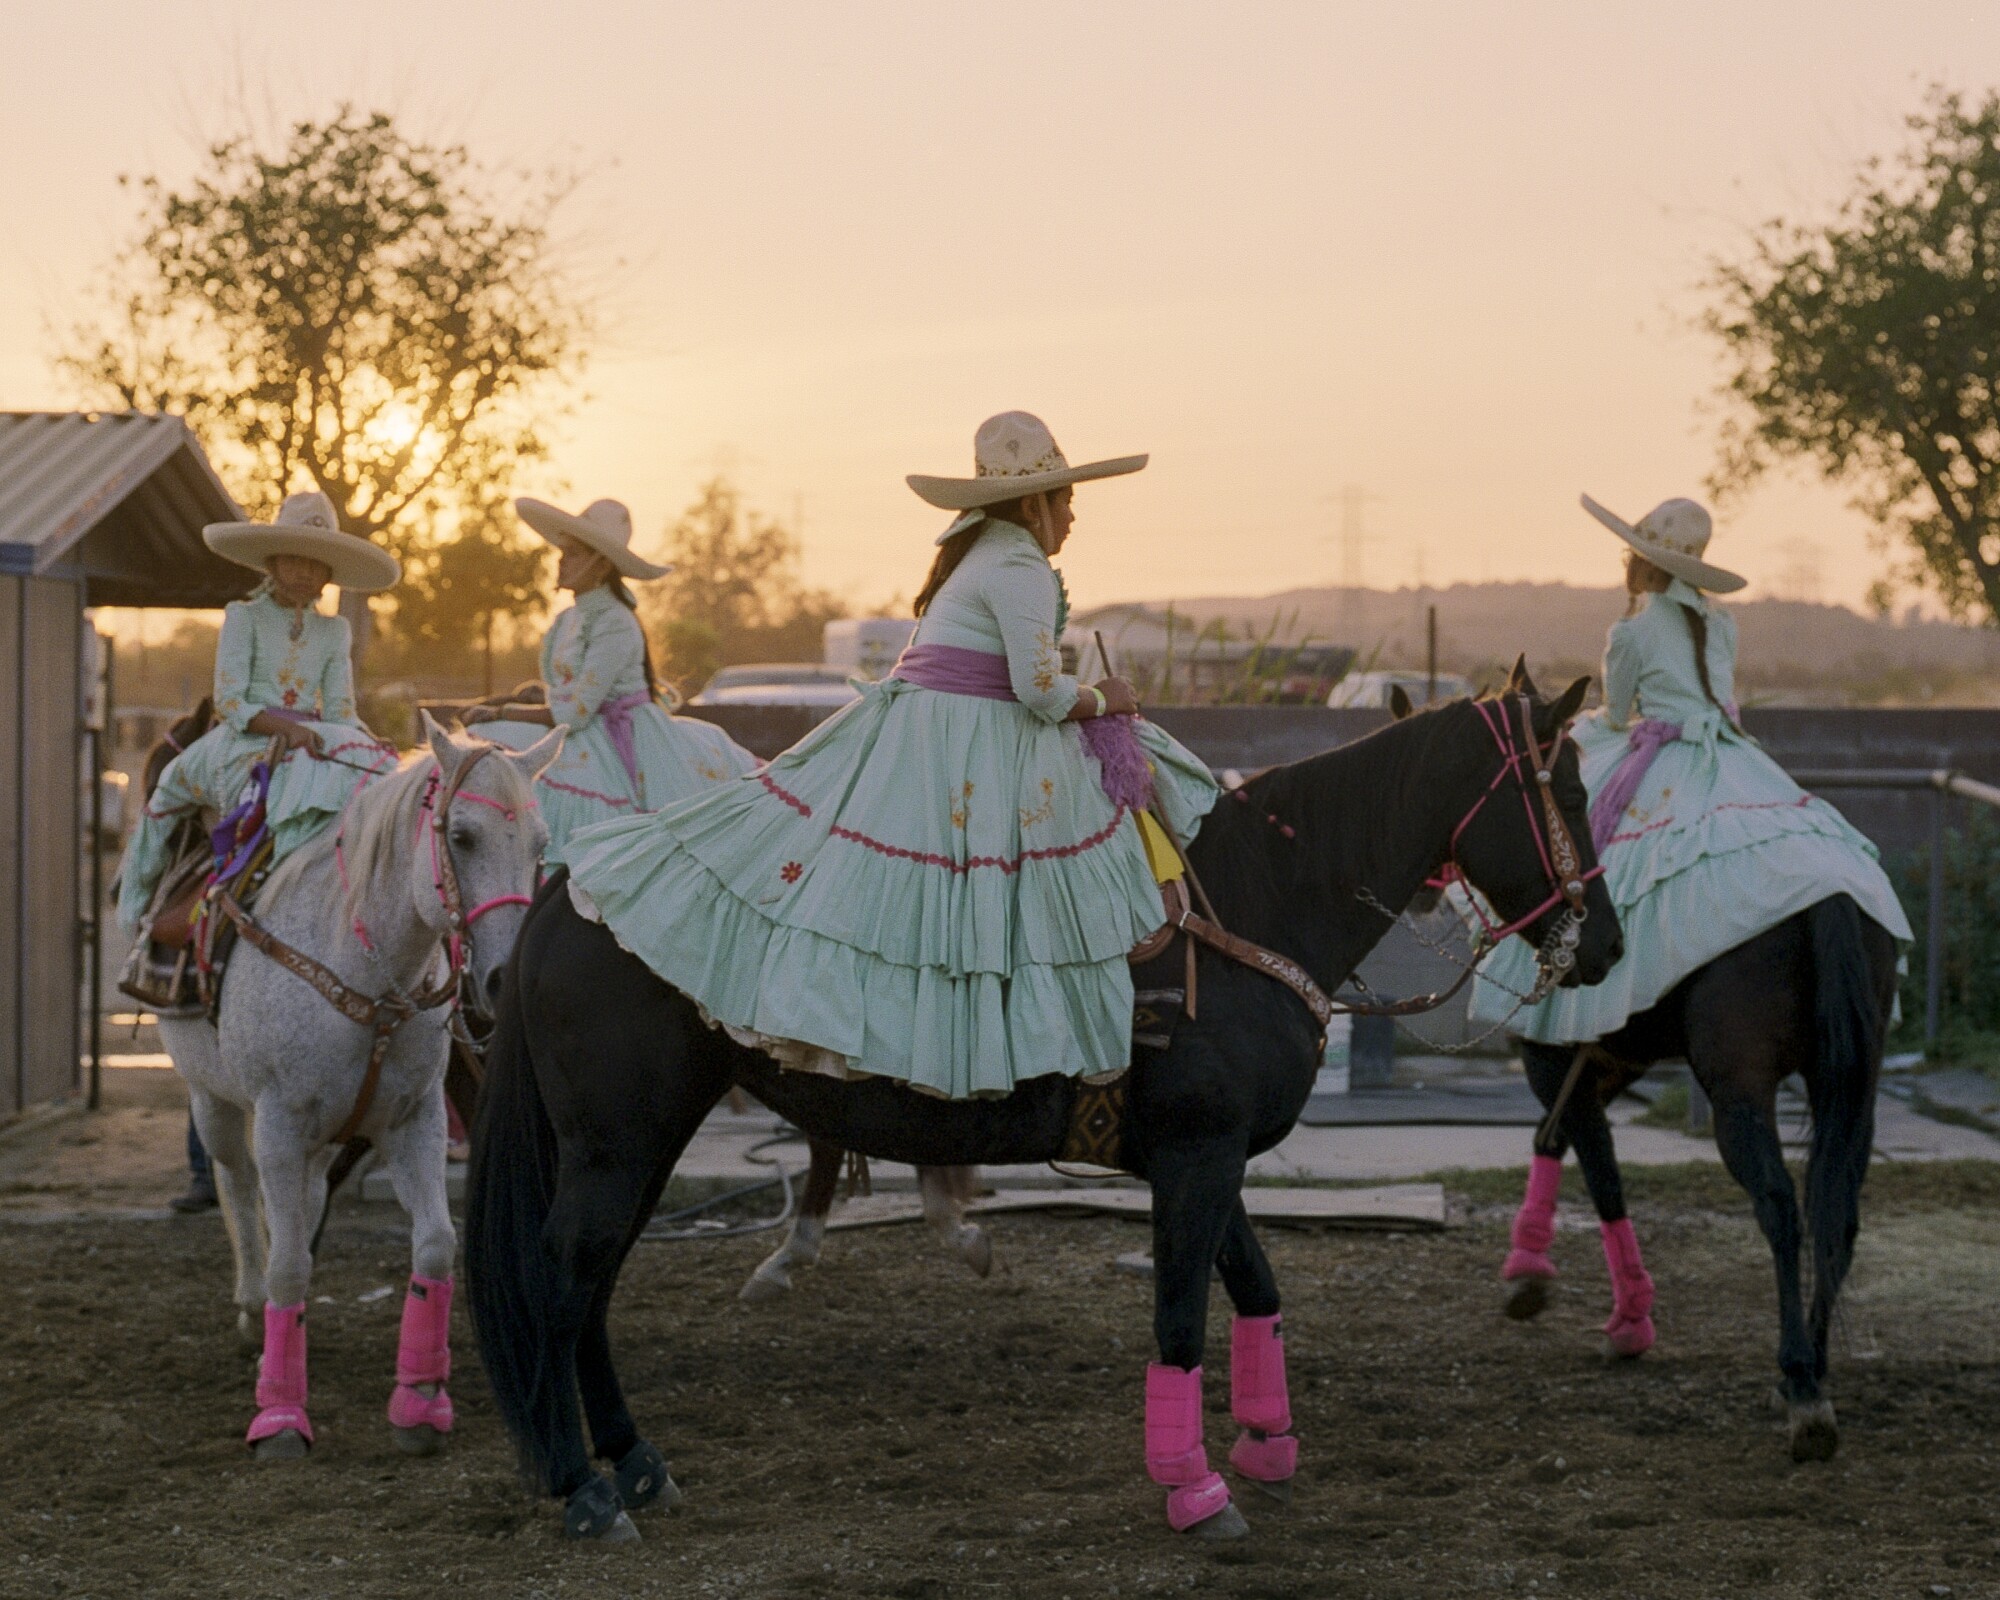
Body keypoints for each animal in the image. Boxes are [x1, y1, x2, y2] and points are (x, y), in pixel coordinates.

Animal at [158, 720, 556, 1456]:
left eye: (540, 844)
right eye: (462, 836)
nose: (501, 979)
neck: (369, 976)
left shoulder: (415, 1120)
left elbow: (435, 1245)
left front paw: (420, 1401)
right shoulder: (279, 1123)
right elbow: (288, 1261)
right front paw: (281, 1417)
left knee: (301, 1203)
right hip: (216, 1104)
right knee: (238, 1190)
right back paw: (254, 1315)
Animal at [468, 664, 1624, 1536]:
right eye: (1567, 793)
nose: (1605, 945)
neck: (1249, 907)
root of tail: (569, 890)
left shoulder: (1200, 1156)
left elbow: (1252, 1287)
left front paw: (1267, 1442)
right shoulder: (1196, 1157)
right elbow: (1178, 1315)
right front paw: (1194, 1488)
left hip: (642, 1143)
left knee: (592, 1290)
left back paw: (637, 1462)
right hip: (619, 1146)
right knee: (561, 1282)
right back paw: (582, 1490)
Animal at [1504, 892, 1888, 1456]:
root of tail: (1831, 894)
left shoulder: (1550, 1055)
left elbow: (1598, 1170)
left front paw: (1625, 1316)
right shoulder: (1613, 1061)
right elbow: (1557, 1139)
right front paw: (1531, 1264)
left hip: (1740, 1093)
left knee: (1779, 1208)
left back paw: (1800, 1382)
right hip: (1850, 1086)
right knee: (1838, 1217)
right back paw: (1811, 1372)